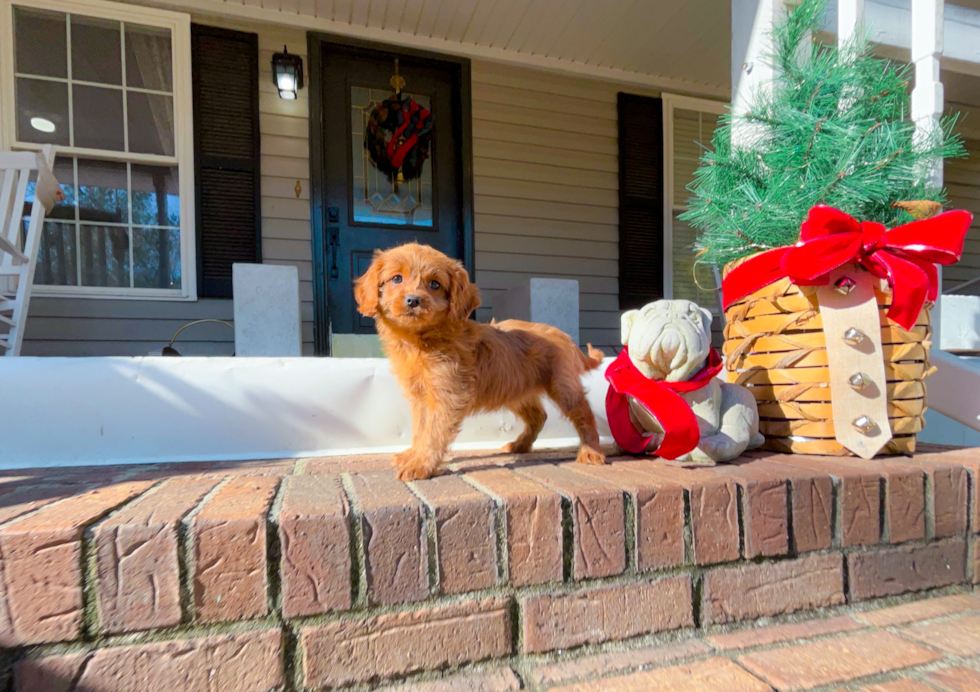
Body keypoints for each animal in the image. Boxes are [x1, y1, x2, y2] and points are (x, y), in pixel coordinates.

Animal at [354, 243, 604, 482]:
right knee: (538, 416)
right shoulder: (421, 397)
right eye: (397, 279)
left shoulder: (447, 396)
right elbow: (420, 429)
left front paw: (420, 464)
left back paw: (591, 452)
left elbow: (433, 432)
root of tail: (565, 337)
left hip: (563, 387)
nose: (413, 300)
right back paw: (519, 445)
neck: (420, 340)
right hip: (514, 390)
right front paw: (413, 455)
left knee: (585, 414)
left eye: (435, 284)